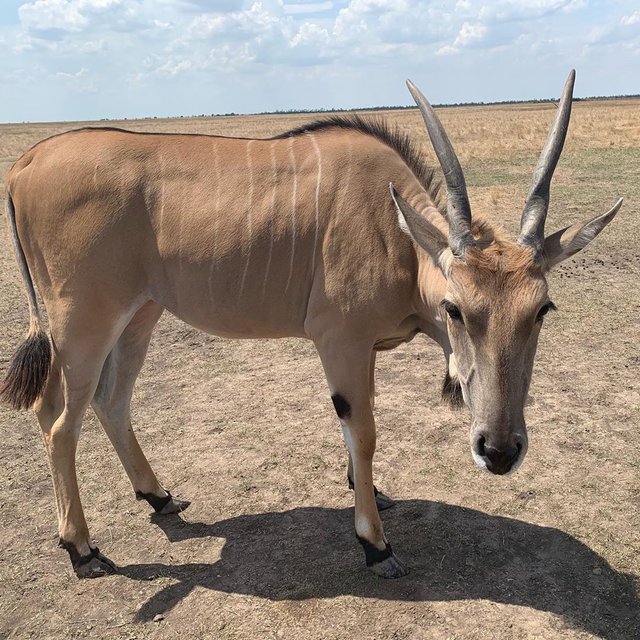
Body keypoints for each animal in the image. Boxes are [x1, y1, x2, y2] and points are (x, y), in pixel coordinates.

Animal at [2, 71, 621, 579]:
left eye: (541, 310)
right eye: (455, 309)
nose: (498, 451)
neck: (395, 230)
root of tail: (27, 163)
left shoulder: (364, 348)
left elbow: (358, 433)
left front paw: (369, 493)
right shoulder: (339, 340)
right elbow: (363, 431)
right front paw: (375, 544)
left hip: (139, 316)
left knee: (111, 402)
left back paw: (157, 497)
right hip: (83, 323)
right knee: (58, 422)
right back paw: (83, 550)